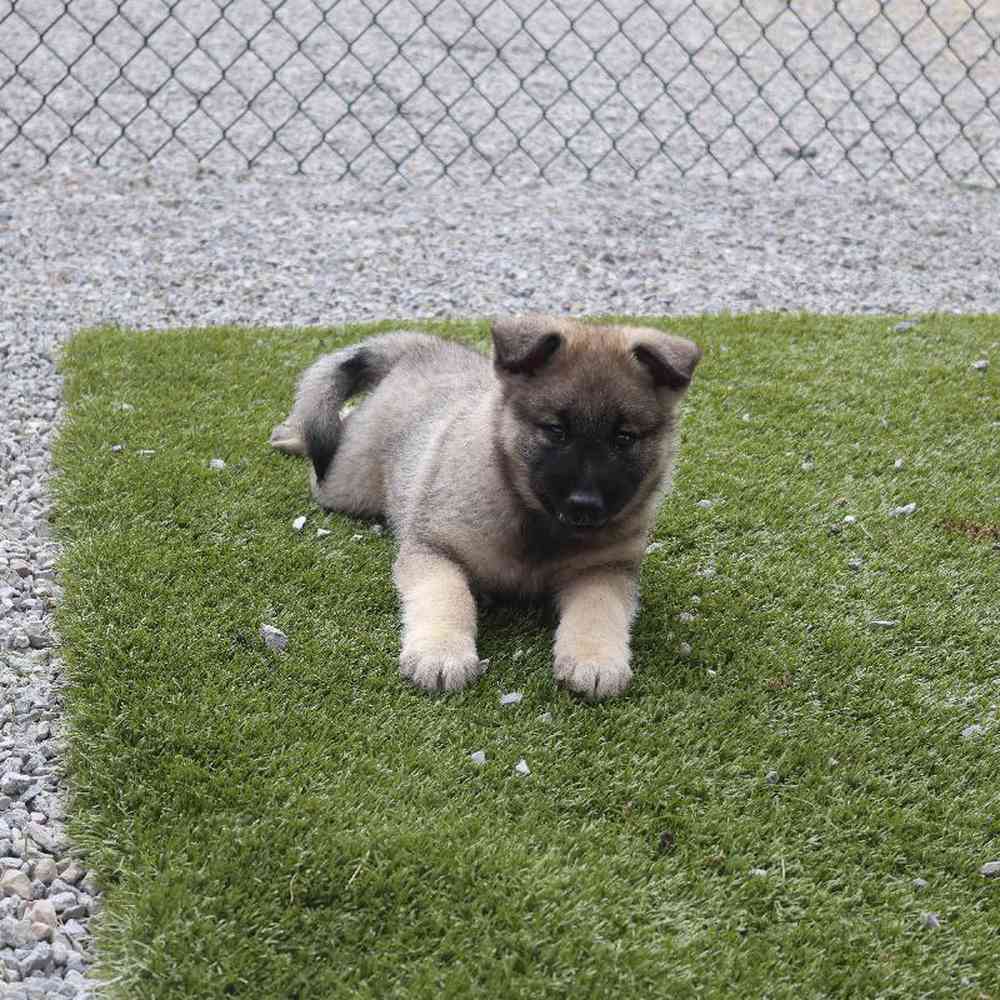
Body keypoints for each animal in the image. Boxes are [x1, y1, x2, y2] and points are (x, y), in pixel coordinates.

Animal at [270, 316, 700, 700]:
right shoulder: (435, 550)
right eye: (555, 431)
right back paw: (295, 434)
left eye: (624, 438)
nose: (586, 506)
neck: (536, 521)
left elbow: (598, 609)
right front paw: (441, 653)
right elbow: (448, 596)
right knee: (338, 429)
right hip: (343, 483)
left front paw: (595, 660)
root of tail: (422, 350)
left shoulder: (604, 569)